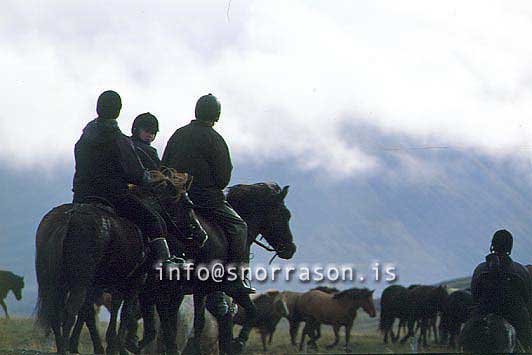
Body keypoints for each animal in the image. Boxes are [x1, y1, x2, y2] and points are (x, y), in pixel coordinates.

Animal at [33, 171, 192, 354]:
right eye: (188, 205)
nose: (201, 235)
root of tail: (68, 218)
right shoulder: (137, 280)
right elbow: (125, 313)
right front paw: (119, 345)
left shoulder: (115, 282)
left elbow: (113, 309)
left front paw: (113, 344)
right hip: (80, 284)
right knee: (70, 313)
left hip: (56, 283)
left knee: (57, 314)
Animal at [137, 184, 298, 355]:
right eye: (285, 215)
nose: (291, 249)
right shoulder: (227, 290)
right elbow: (251, 311)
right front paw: (239, 342)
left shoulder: (196, 290)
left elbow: (198, 321)